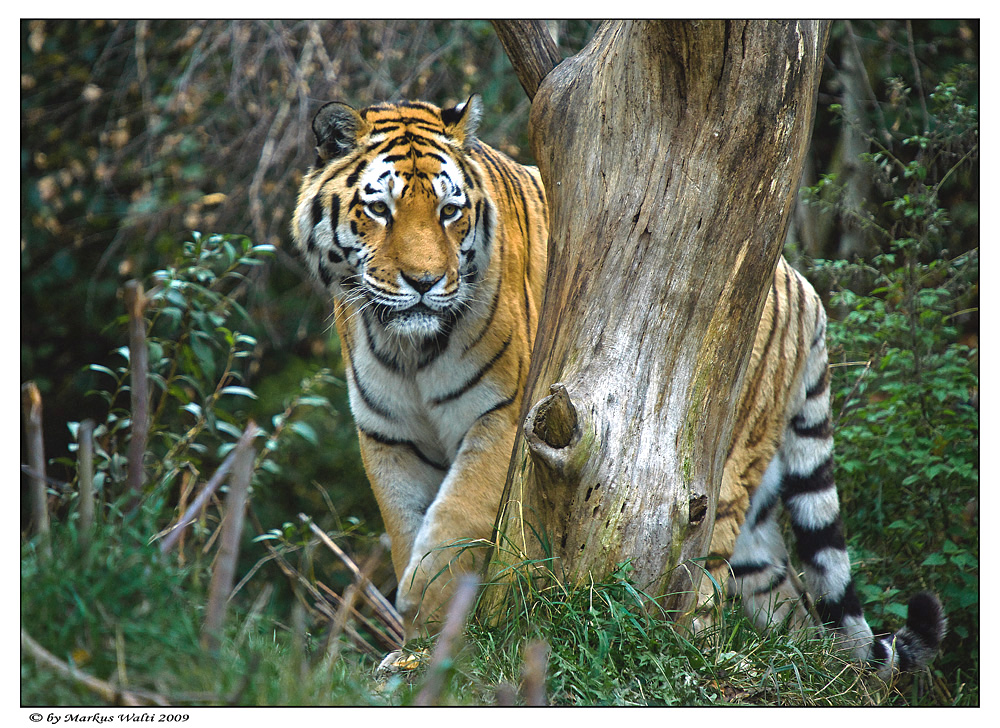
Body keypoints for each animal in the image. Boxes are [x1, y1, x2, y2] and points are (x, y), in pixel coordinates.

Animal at [292, 94, 944, 672]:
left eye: (450, 212)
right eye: (381, 210)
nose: (426, 282)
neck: (408, 348)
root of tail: (800, 284)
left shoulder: (507, 416)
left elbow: (455, 517)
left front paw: (426, 605)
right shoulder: (388, 438)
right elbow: (408, 527)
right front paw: (416, 646)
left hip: (717, 479)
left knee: (704, 581)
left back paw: (692, 656)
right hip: (757, 522)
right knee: (795, 611)